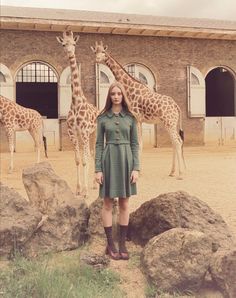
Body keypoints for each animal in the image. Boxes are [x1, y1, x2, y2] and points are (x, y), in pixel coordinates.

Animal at [56, 31, 98, 197]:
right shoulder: (73, 132)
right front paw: (78, 189)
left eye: (74, 43)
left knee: (94, 154)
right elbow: (78, 160)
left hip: (94, 133)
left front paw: (85, 191)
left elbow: (85, 159)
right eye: (63, 44)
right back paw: (93, 184)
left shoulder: (85, 132)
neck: (75, 102)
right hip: (84, 135)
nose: (69, 52)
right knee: (90, 154)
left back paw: (95, 184)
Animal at [91, 42, 185, 179]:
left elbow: (139, 144)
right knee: (176, 142)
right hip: (169, 123)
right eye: (95, 52)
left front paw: (138, 172)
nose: (97, 59)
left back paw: (181, 174)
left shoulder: (137, 118)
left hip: (170, 122)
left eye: (103, 52)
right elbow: (139, 143)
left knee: (177, 142)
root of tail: (177, 106)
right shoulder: (138, 120)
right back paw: (172, 172)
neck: (130, 88)